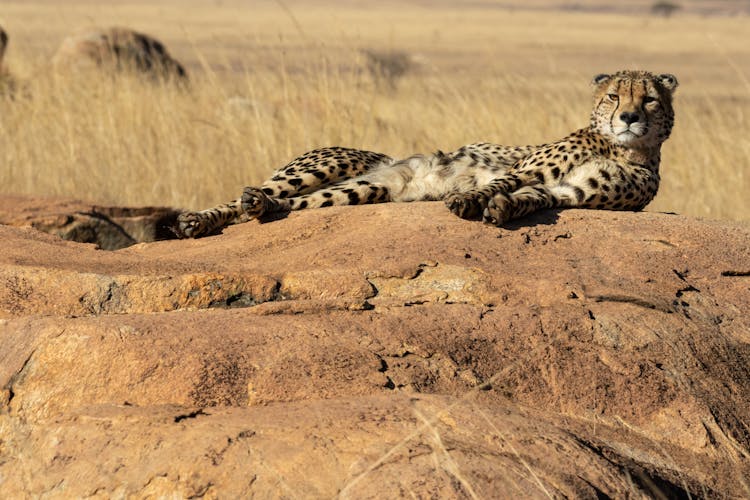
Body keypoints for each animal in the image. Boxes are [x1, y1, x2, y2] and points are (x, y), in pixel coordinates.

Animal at [175, 70, 676, 238]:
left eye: (650, 99)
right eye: (614, 96)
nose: (629, 117)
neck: (623, 149)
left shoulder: (570, 192)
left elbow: (534, 199)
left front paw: (501, 211)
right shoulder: (527, 167)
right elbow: (502, 181)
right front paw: (469, 201)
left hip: (358, 191)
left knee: (283, 204)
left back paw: (260, 208)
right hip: (329, 164)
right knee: (247, 196)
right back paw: (198, 220)